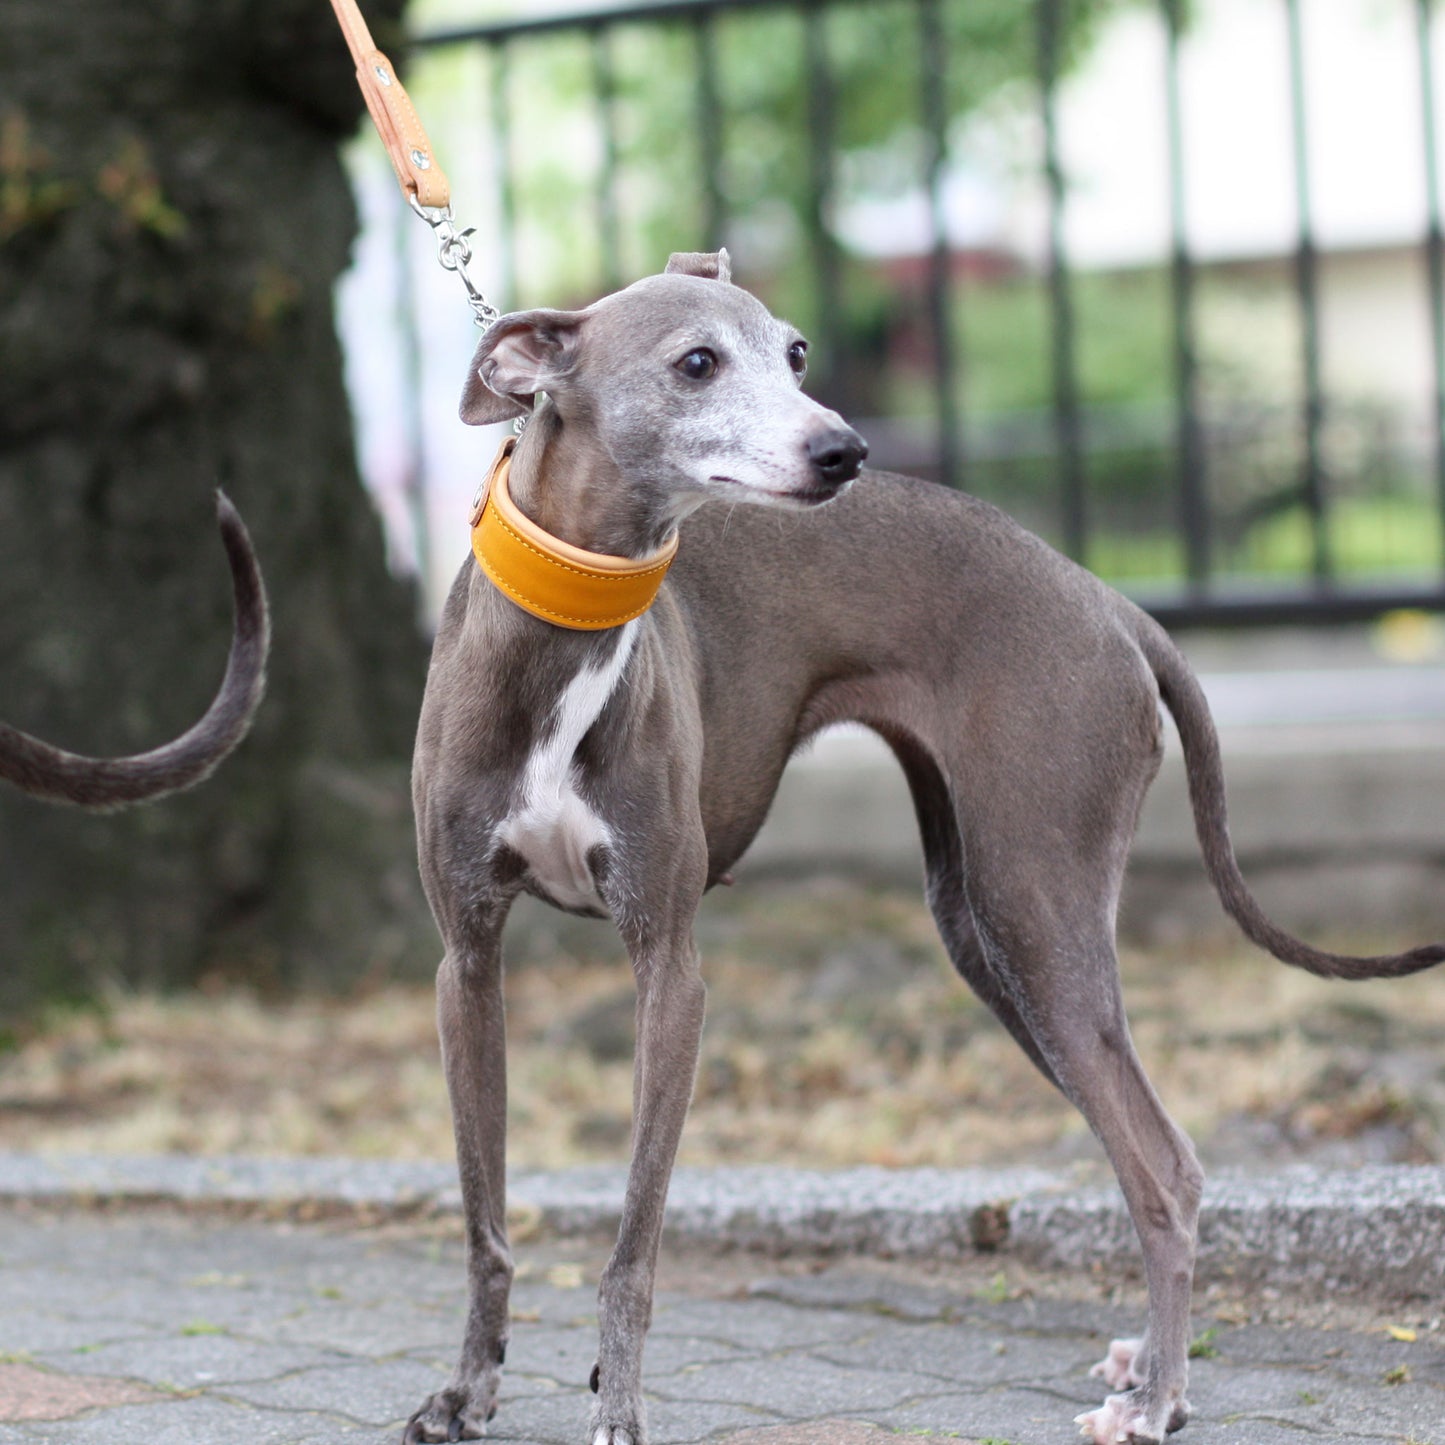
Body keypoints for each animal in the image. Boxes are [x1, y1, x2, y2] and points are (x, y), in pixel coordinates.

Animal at [410, 251, 1445, 1445]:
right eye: (697, 362)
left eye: (796, 351)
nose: (843, 451)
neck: (566, 629)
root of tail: (1108, 600)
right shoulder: (465, 962)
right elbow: (482, 1214)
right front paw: (466, 1388)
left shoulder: (668, 965)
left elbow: (633, 1238)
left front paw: (615, 1403)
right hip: (985, 933)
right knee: (1155, 1153)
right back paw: (1150, 1372)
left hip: (1031, 908)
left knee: (1165, 1167)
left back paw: (1157, 1399)